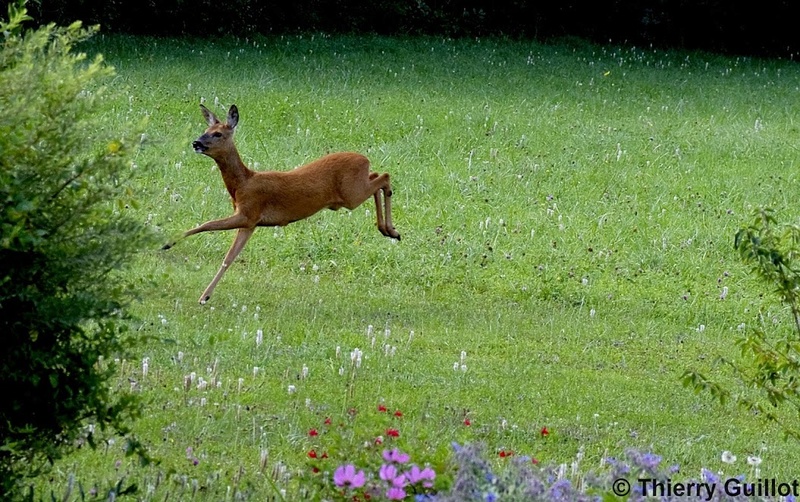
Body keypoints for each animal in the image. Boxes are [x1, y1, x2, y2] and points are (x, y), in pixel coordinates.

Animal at [162, 104, 400, 304]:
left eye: (217, 133)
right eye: (206, 128)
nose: (196, 143)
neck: (243, 184)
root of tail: (364, 159)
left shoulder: (248, 212)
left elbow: (208, 225)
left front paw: (168, 244)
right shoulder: (249, 224)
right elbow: (229, 258)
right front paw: (205, 295)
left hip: (351, 194)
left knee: (384, 177)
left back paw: (391, 230)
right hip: (354, 189)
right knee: (378, 176)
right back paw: (388, 230)